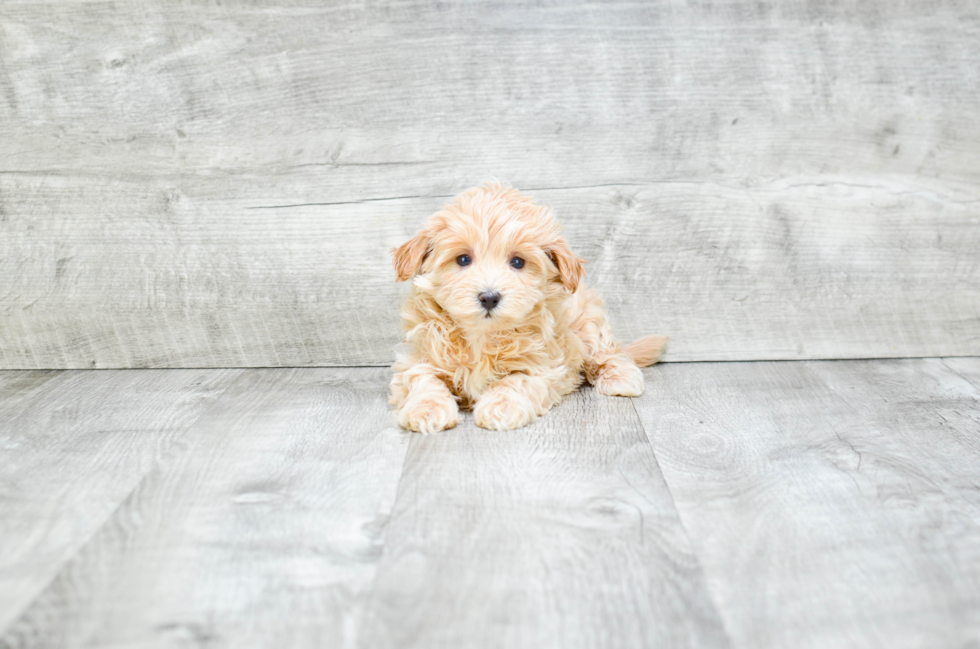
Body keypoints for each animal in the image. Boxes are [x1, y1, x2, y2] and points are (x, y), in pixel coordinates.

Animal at [388, 181, 668, 430]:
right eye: (463, 259)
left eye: (518, 262)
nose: (489, 297)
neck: (482, 336)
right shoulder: (418, 358)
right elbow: (422, 380)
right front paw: (426, 410)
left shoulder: (543, 367)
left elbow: (515, 381)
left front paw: (501, 407)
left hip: (590, 325)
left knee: (609, 353)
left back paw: (620, 377)